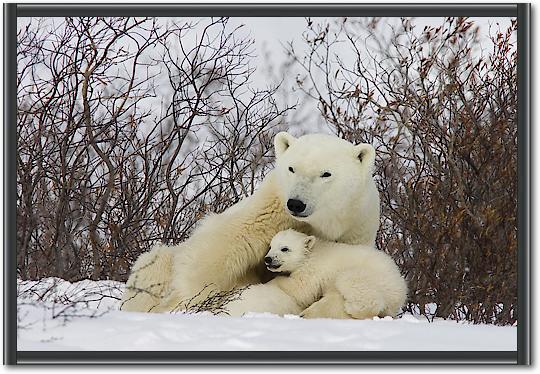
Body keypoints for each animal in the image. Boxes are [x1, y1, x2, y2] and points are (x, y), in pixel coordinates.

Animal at [119, 131, 380, 312]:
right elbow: (218, 249)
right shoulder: (270, 208)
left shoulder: (355, 226)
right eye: (291, 168)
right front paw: (185, 302)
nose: (296, 203)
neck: (322, 222)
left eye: (326, 173)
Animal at [226, 229, 408, 320]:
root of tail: (401, 288)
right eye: (271, 246)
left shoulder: (313, 270)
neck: (312, 252)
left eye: (284, 248)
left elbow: (300, 288)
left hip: (373, 278)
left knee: (353, 283)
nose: (268, 259)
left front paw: (273, 282)